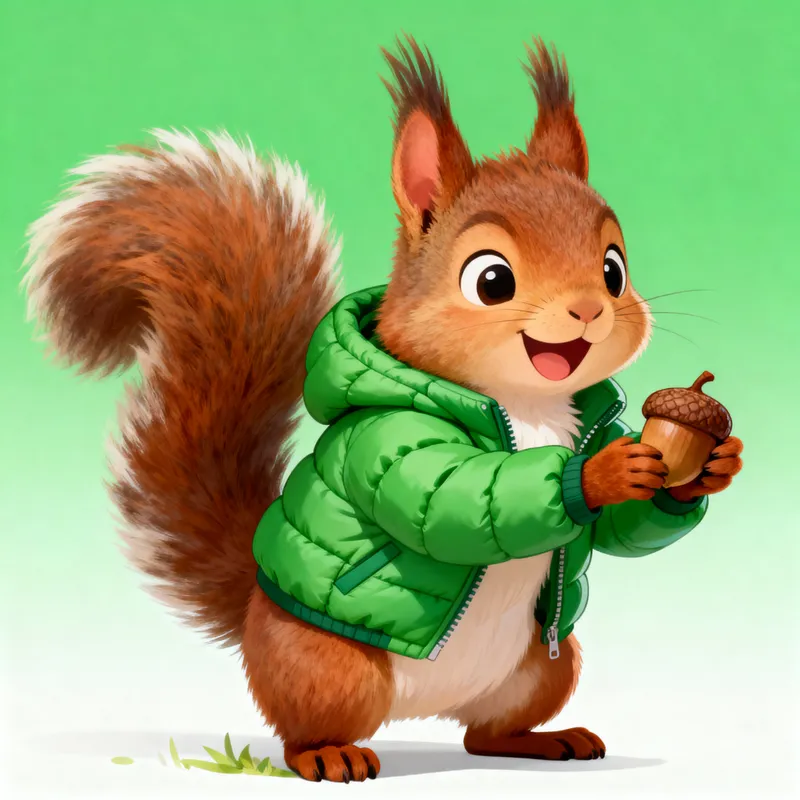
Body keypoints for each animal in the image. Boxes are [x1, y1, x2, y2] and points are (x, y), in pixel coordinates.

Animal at [22, 35, 743, 782]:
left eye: (613, 268)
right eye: (492, 280)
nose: (589, 311)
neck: (528, 404)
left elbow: (614, 533)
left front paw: (706, 469)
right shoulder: (386, 437)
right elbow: (448, 496)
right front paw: (593, 474)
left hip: (546, 664)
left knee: (485, 735)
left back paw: (544, 740)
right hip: (329, 667)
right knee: (306, 729)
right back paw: (330, 753)